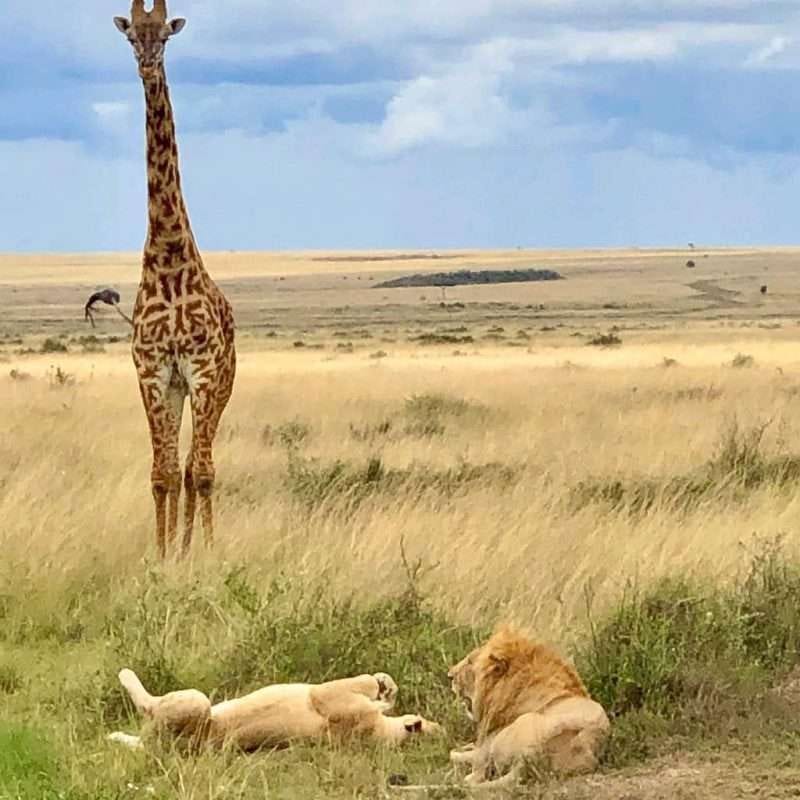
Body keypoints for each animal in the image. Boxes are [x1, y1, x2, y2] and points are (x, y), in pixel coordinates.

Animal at [107, 664, 440, 752]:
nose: (438, 727)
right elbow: (383, 692)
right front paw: (387, 685)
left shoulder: (322, 694)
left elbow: (364, 683)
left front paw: (378, 684)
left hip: (196, 702)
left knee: (149, 709)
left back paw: (124, 673)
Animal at [446, 632, 608, 788]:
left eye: (470, 662)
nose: (449, 675)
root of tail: (528, 759)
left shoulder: (486, 745)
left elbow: (456, 753)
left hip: (515, 727)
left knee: (475, 777)